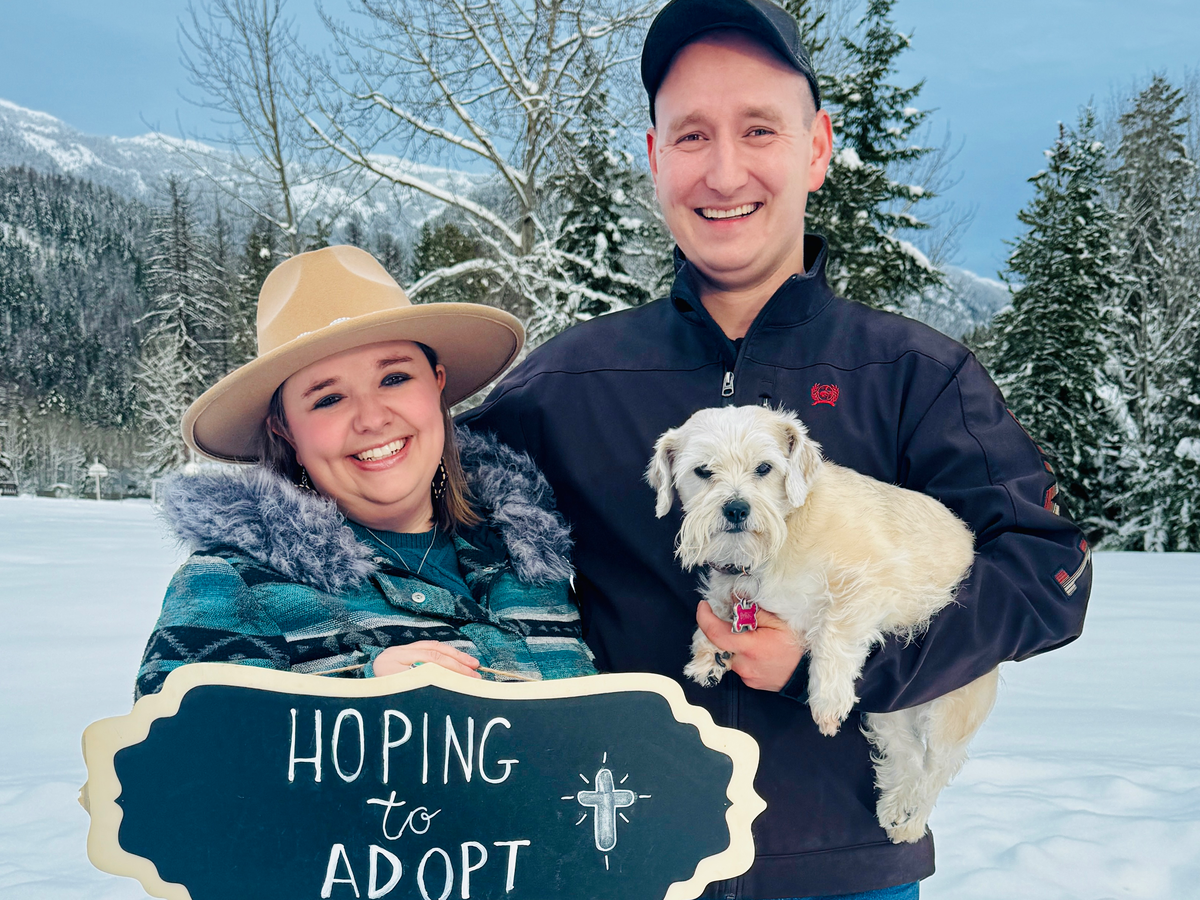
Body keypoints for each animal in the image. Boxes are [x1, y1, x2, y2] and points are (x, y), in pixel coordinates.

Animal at [646, 404, 999, 843]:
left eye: (764, 468)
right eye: (703, 470)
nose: (736, 509)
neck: (782, 536)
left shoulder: (866, 583)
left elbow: (836, 633)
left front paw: (826, 698)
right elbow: (721, 603)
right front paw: (708, 652)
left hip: (950, 708)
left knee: (934, 769)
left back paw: (911, 822)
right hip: (889, 711)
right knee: (907, 753)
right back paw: (895, 807)